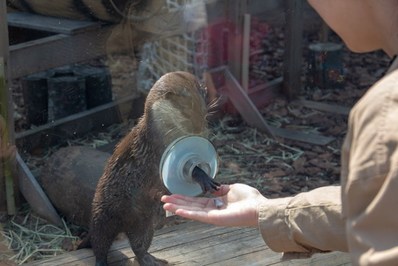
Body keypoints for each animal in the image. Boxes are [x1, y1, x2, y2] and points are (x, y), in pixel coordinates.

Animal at [79, 71, 219, 264]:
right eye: (185, 114)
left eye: (203, 112)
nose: (198, 128)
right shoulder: (159, 151)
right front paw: (204, 179)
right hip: (103, 215)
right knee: (99, 243)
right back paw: (101, 261)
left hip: (143, 224)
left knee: (138, 245)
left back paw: (151, 259)